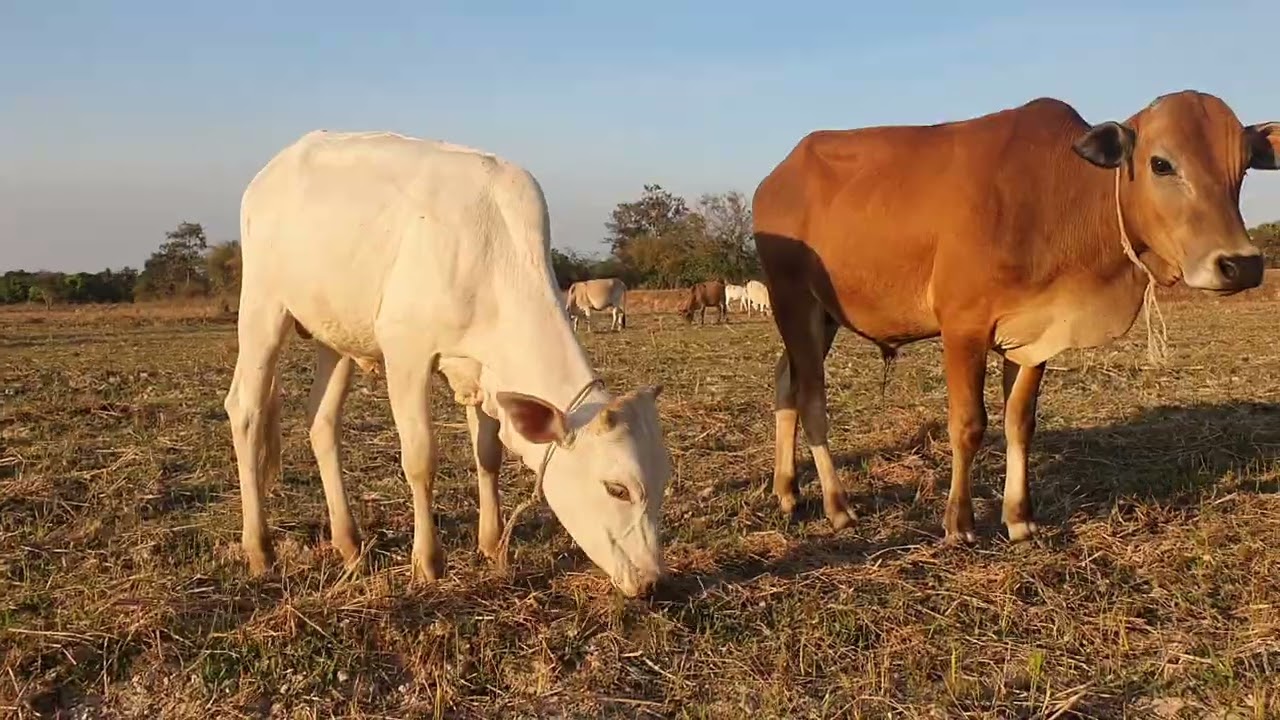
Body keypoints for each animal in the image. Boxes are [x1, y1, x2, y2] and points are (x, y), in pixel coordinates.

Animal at [225, 130, 672, 597]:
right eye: (617, 489)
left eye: (664, 481)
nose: (653, 581)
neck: (496, 258)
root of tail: (271, 171)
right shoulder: (406, 353)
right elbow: (421, 459)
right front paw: (428, 562)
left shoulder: (482, 373)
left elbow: (488, 455)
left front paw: (493, 545)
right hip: (262, 307)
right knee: (245, 410)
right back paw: (259, 549)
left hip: (336, 334)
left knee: (322, 421)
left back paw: (349, 544)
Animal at [753, 90, 1275, 544]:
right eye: (1161, 163)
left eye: (1244, 166)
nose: (1241, 264)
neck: (1062, 196)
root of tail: (774, 179)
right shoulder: (962, 328)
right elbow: (968, 425)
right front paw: (959, 523)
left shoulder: (1034, 336)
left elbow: (1019, 422)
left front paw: (1020, 517)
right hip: (793, 300)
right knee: (811, 397)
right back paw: (837, 505)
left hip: (823, 315)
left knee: (785, 382)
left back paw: (788, 492)